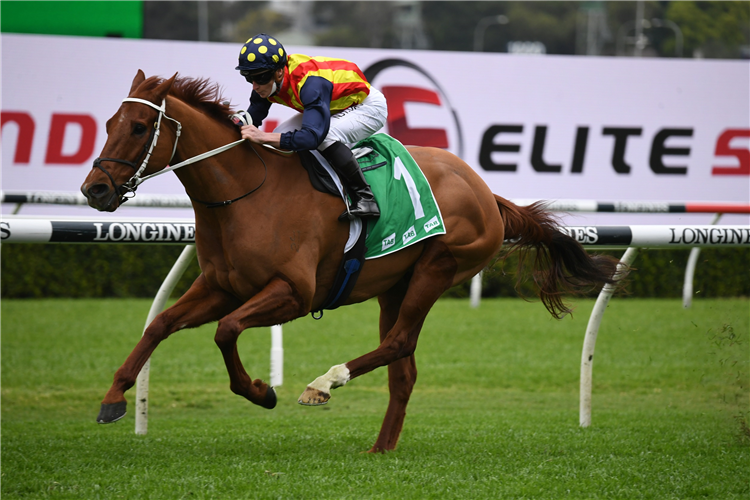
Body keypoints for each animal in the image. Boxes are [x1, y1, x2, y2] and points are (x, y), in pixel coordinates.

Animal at [81, 70, 624, 454]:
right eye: (107, 125)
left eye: (138, 127)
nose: (95, 189)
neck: (247, 192)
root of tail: (485, 191)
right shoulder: (221, 286)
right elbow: (160, 324)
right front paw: (112, 399)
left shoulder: (293, 293)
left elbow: (226, 330)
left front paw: (261, 391)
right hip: (394, 286)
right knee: (403, 368)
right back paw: (380, 447)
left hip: (437, 268)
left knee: (399, 343)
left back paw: (325, 383)